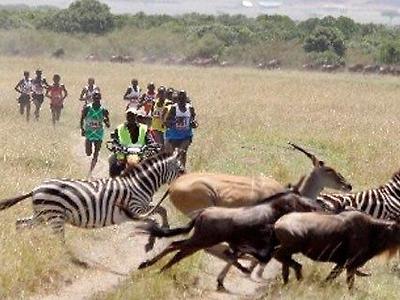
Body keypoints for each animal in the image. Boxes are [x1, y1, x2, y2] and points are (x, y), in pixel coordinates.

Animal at [0, 149, 184, 240]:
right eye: (182, 170)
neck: (140, 184)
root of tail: (35, 189)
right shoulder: (135, 208)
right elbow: (155, 215)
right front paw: (157, 229)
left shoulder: (143, 206)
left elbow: (161, 209)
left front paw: (165, 226)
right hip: (54, 217)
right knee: (57, 239)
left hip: (41, 215)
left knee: (20, 223)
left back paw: (21, 245)